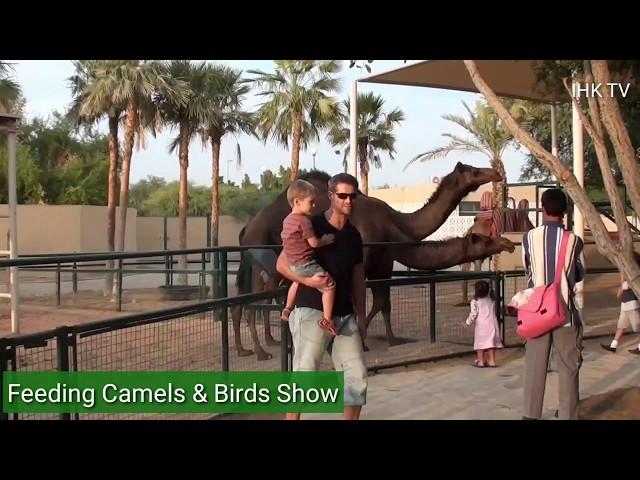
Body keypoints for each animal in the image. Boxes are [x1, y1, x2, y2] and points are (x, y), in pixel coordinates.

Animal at [230, 163, 516, 358]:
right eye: (473, 170)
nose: (495, 172)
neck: (395, 224)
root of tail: (246, 229)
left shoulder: (383, 264)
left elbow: (383, 302)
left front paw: (391, 339)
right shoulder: (365, 260)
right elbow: (363, 301)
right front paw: (361, 341)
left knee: (249, 302)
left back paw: (256, 346)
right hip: (262, 262)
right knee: (252, 303)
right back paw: (262, 351)